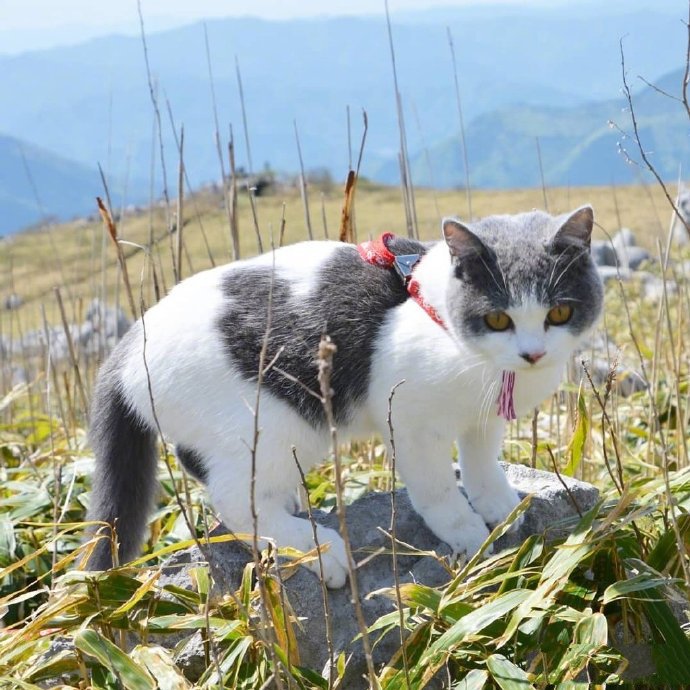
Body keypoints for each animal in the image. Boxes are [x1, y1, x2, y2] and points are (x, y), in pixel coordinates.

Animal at [86, 204, 600, 584]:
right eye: (497, 319)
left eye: (559, 312)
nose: (532, 353)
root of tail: (125, 353)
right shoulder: (409, 419)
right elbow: (436, 487)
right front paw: (468, 535)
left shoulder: (484, 416)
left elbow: (480, 461)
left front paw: (499, 505)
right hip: (272, 422)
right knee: (235, 500)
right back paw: (319, 549)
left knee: (201, 464)